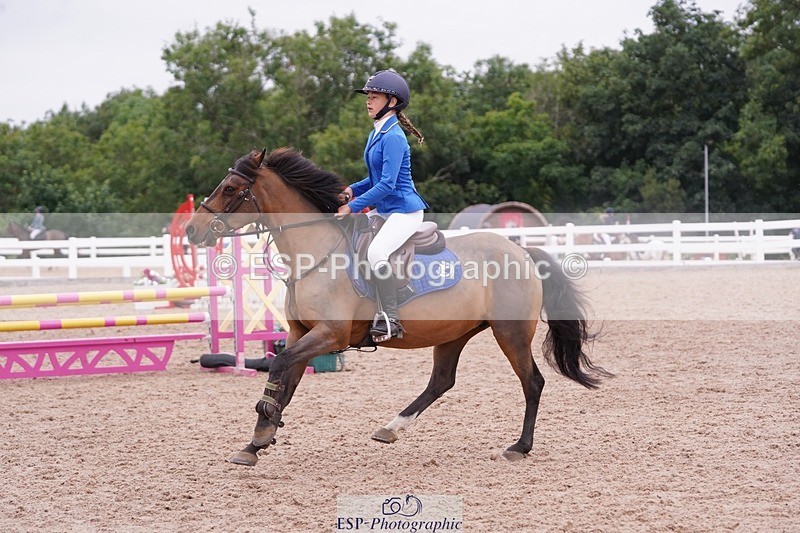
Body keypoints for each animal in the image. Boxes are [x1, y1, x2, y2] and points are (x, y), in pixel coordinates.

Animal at [185, 147, 609, 467]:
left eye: (231, 188)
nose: (192, 230)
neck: (317, 252)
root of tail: (521, 251)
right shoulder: (300, 332)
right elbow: (285, 379)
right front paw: (257, 441)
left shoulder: (329, 334)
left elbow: (278, 367)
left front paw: (262, 430)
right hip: (454, 333)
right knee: (441, 381)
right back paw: (391, 427)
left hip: (511, 333)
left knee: (532, 382)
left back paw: (519, 447)